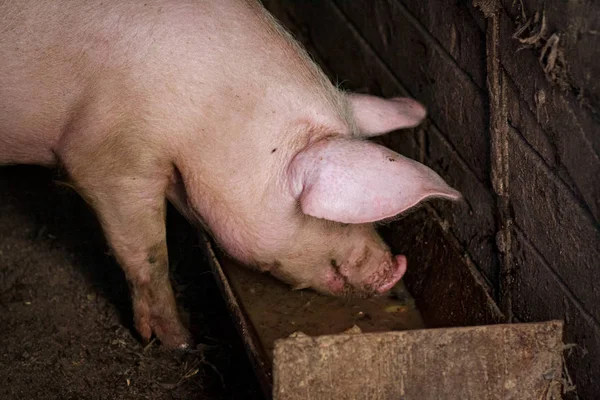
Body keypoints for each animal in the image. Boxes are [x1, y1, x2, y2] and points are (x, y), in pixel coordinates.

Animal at [0, 0, 462, 350]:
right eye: (332, 217)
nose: (394, 267)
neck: (210, 119)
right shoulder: (107, 156)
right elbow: (148, 253)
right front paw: (180, 341)